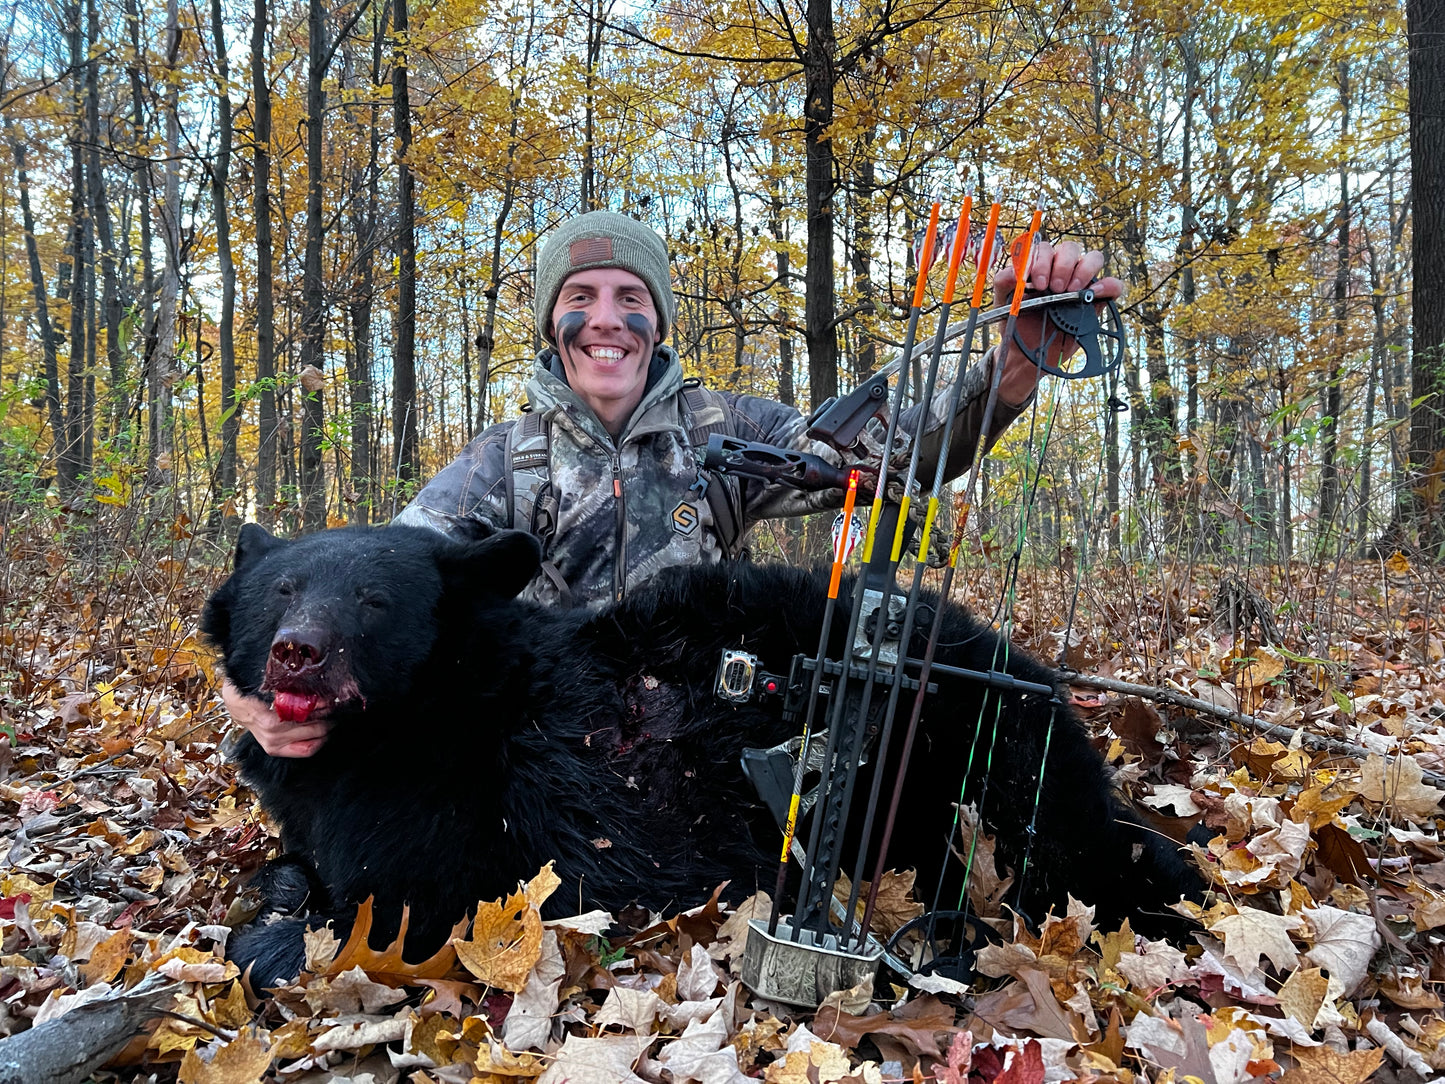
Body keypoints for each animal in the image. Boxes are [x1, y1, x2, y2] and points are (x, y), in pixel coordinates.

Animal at [203, 524, 1201, 989]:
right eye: (282, 587)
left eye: (374, 601)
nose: (299, 651)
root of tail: (1040, 679)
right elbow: (295, 867)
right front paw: (279, 887)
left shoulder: (474, 822)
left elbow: (403, 911)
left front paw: (274, 939)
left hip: (972, 753)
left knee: (1075, 853)